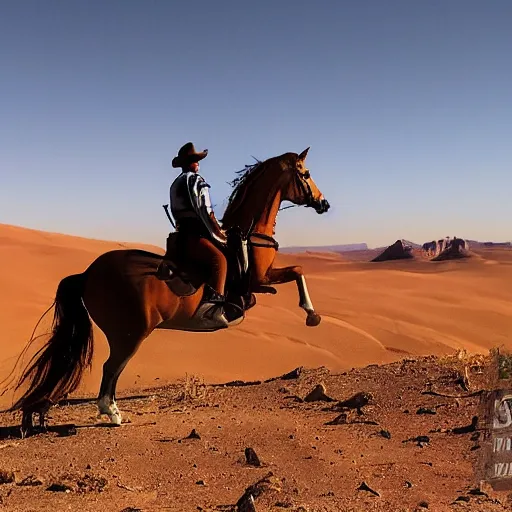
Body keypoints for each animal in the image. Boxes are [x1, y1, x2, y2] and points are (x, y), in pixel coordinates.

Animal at [2, 146, 330, 430]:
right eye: (306, 173)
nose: (323, 203)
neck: (250, 235)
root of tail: (87, 274)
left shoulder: (262, 282)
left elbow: (297, 272)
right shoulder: (260, 278)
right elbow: (299, 271)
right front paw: (311, 315)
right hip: (130, 333)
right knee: (111, 368)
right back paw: (112, 413)